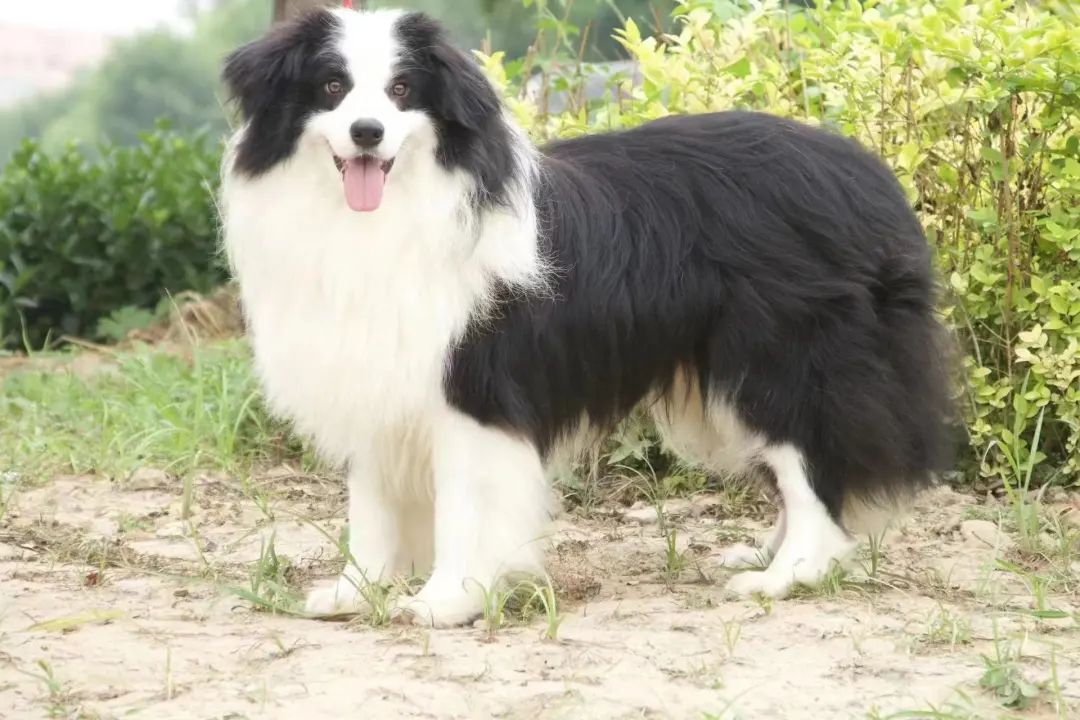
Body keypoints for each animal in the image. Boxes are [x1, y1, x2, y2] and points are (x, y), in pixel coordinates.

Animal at [220, 7, 954, 627]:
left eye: (402, 90)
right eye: (331, 86)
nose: (367, 133)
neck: (384, 215)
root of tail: (870, 178)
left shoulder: (472, 387)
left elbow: (464, 505)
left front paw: (445, 602)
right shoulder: (374, 373)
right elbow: (370, 506)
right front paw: (355, 591)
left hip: (783, 355)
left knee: (809, 457)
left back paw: (787, 574)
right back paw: (764, 554)